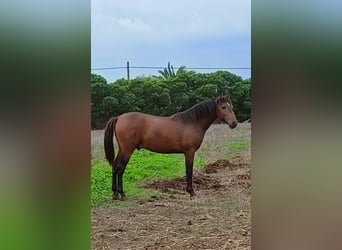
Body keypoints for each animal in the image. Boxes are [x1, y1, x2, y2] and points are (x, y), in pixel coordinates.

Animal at [104, 94, 238, 200]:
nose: (234, 123)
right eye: (223, 107)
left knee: (115, 166)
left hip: (122, 149)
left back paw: (115, 194)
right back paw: (122, 194)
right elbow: (189, 170)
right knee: (120, 168)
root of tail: (118, 118)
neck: (192, 122)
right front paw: (191, 192)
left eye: (231, 106)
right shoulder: (190, 152)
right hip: (127, 150)